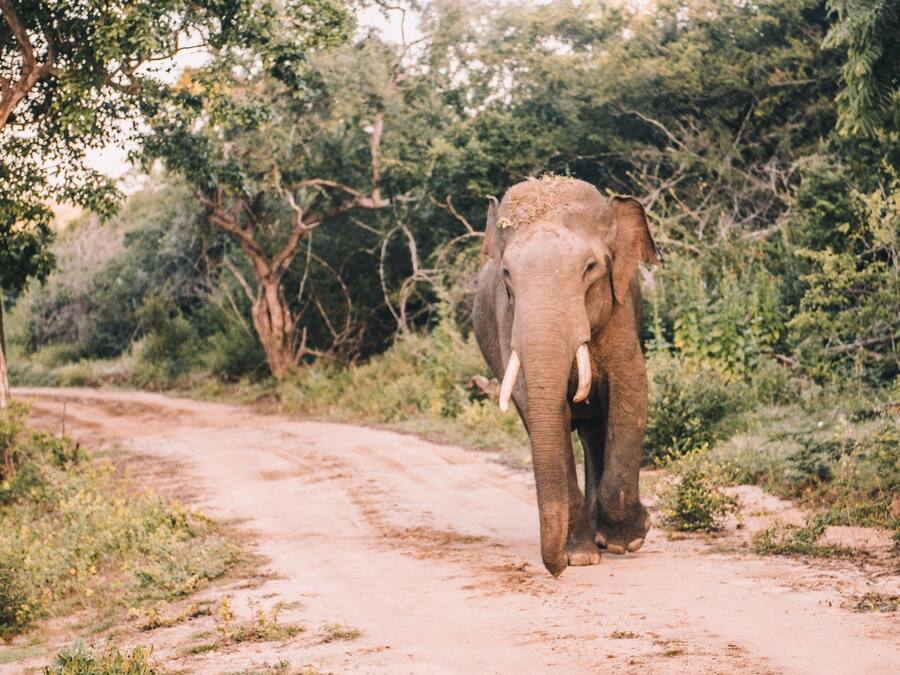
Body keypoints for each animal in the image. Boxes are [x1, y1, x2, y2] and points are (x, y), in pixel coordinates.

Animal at [472, 176, 661, 577]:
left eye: (590, 267)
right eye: (507, 275)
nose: (556, 569)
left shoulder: (620, 307)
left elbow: (631, 392)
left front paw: (629, 540)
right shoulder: (505, 317)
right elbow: (538, 407)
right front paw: (581, 557)